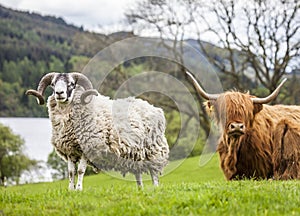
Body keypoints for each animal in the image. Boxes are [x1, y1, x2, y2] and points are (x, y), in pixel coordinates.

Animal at [26, 72, 169, 189]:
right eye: (53, 84)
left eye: (71, 84)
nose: (59, 93)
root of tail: (155, 108)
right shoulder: (70, 150)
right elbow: (71, 172)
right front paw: (70, 190)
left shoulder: (87, 147)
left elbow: (80, 171)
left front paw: (78, 189)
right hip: (136, 153)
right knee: (138, 174)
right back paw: (140, 190)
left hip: (153, 151)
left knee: (154, 174)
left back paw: (155, 189)